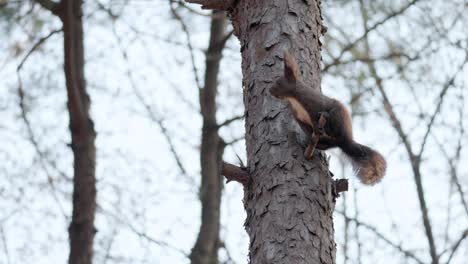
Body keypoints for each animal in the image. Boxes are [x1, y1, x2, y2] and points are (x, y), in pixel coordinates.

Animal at [268, 51, 386, 184]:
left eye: (278, 83)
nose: (269, 90)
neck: (293, 99)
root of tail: (344, 141)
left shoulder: (314, 105)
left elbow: (315, 117)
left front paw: (317, 126)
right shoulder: (298, 117)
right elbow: (305, 126)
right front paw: (311, 137)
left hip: (338, 115)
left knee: (333, 127)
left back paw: (327, 124)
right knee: (328, 143)